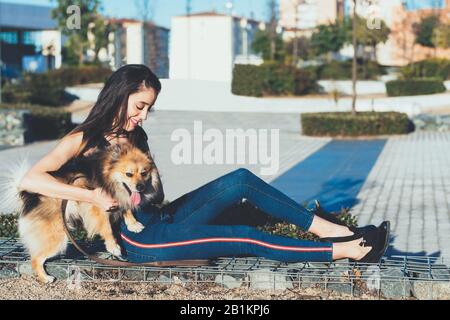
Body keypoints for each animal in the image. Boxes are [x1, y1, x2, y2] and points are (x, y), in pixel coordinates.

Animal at [18, 142, 165, 282]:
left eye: (144, 173)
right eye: (129, 174)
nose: (140, 187)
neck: (106, 174)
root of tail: (30, 197)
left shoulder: (119, 197)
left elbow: (126, 207)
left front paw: (133, 224)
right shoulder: (98, 206)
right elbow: (107, 228)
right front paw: (113, 246)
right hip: (56, 236)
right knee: (36, 259)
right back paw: (45, 278)